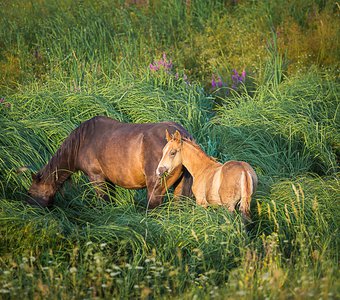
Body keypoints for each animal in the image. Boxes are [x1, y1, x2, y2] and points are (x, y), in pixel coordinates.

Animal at [27, 116, 191, 207]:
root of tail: (182, 135)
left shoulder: (96, 177)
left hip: (155, 188)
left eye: (31, 193)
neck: (83, 140)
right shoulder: (109, 180)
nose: (30, 211)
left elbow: (104, 201)